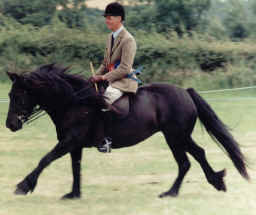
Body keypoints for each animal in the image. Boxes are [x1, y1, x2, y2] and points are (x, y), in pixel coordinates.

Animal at [5, 64, 250, 200]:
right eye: (9, 95)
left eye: (18, 96)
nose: (10, 125)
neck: (73, 102)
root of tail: (185, 92)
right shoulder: (74, 144)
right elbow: (76, 168)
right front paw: (74, 194)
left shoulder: (69, 141)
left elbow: (45, 160)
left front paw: (23, 186)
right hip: (179, 137)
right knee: (197, 155)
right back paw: (215, 181)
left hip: (175, 136)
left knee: (186, 161)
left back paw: (172, 192)